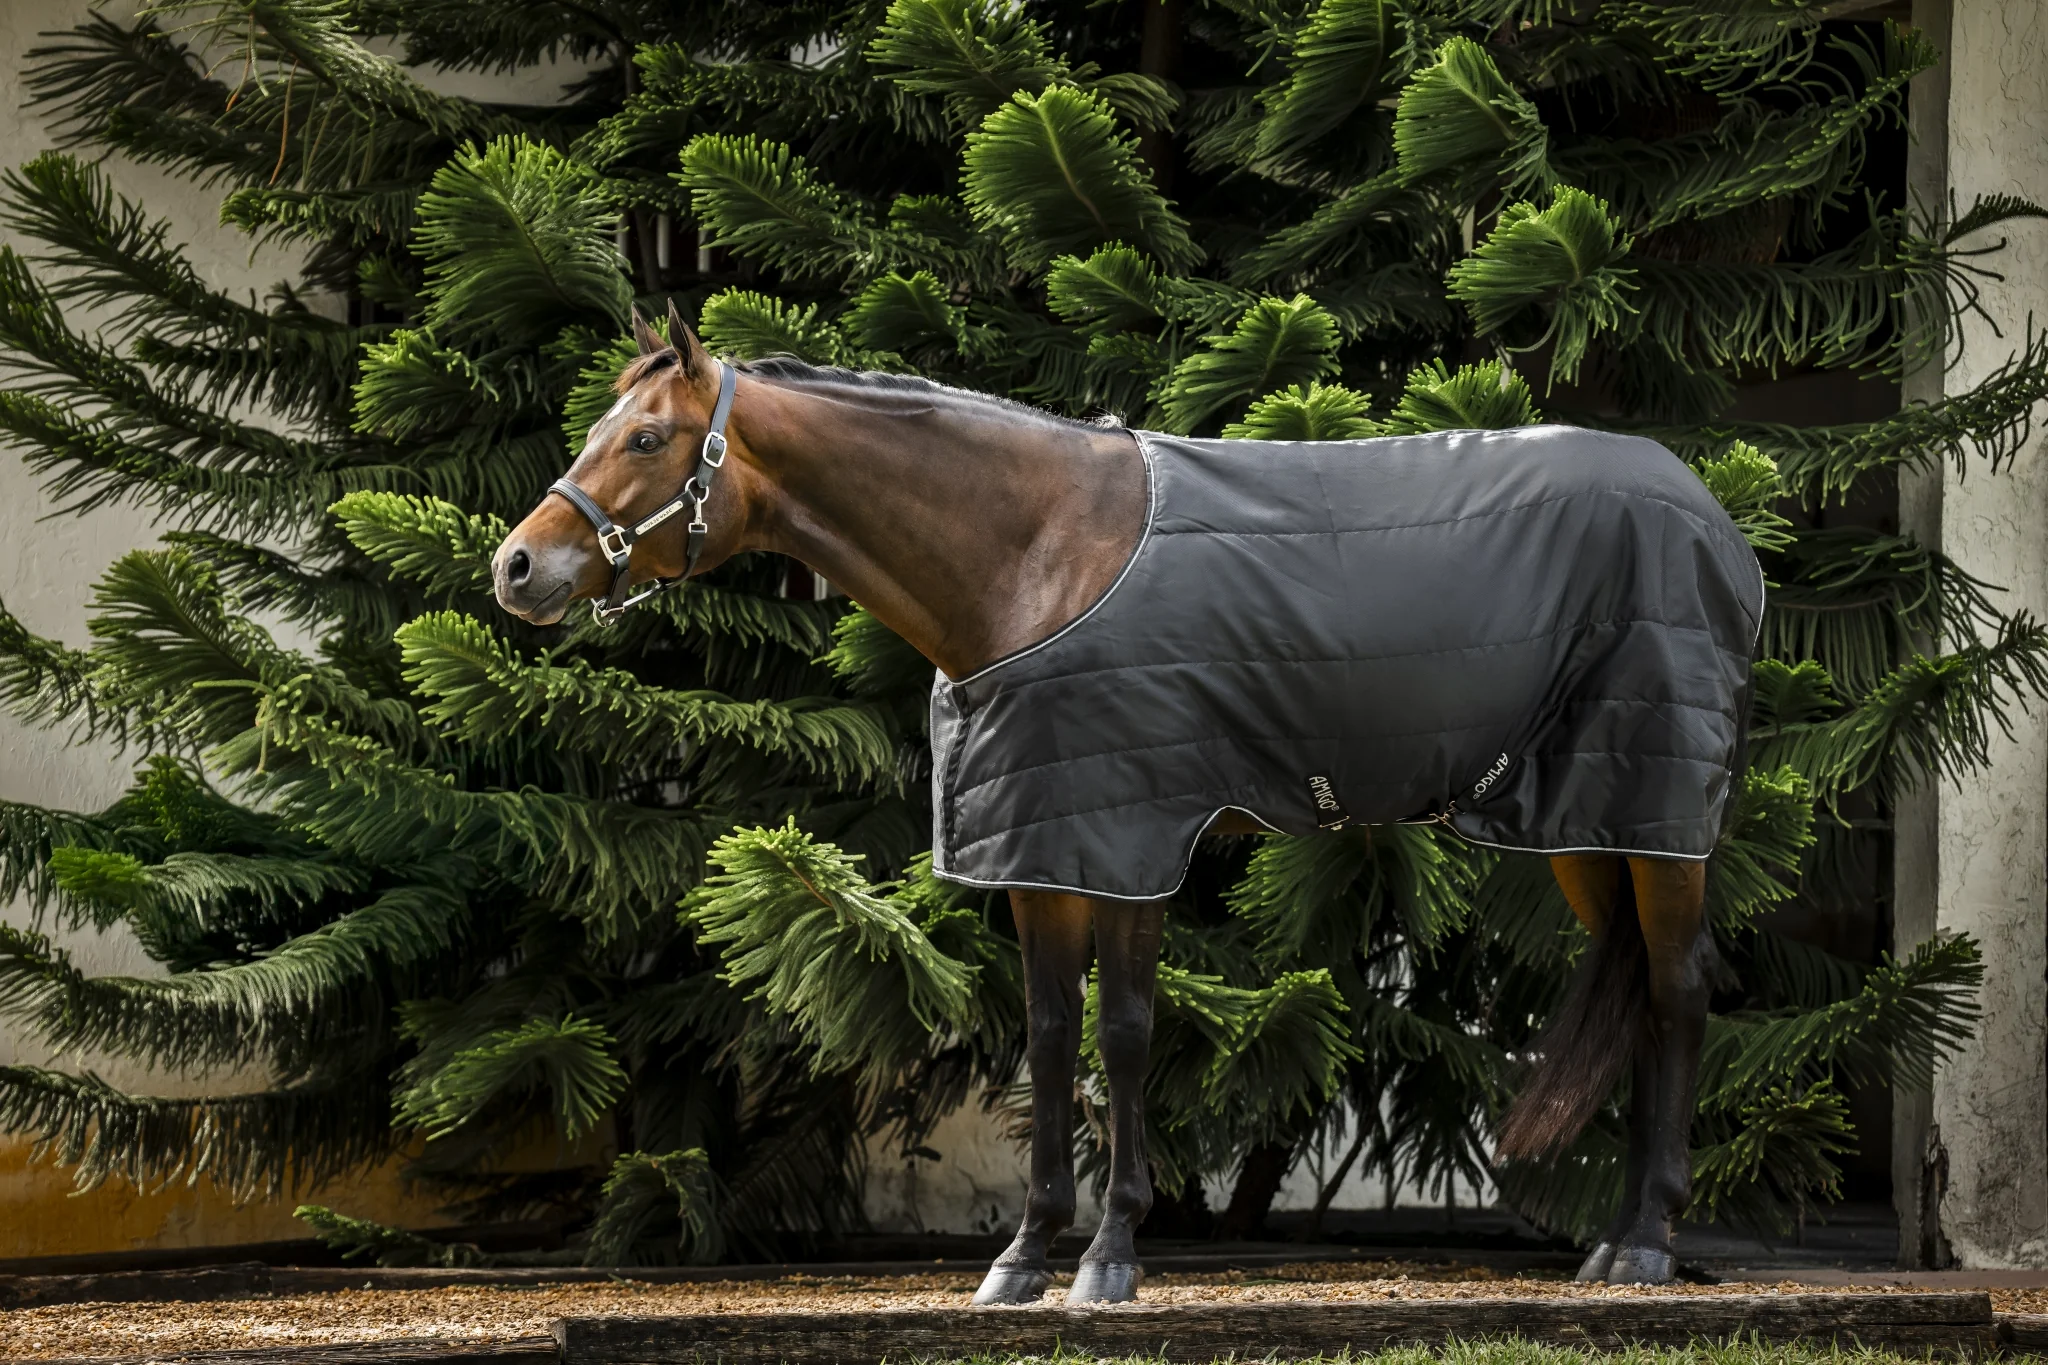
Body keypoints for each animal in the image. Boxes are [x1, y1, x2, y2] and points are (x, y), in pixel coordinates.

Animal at [492, 303, 1759, 1300]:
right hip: (1590, 826)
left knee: (1680, 988)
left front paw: (1108, 1257)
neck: (1035, 556)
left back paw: (1644, 1245)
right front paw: (1023, 1256)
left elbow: (1126, 1032)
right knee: (1640, 987)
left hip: (1657, 819)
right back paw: (1615, 1243)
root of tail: (1716, 525)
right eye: (599, 430)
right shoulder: (1042, 848)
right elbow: (1052, 1038)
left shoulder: (1133, 836)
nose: (516, 568)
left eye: (646, 437)